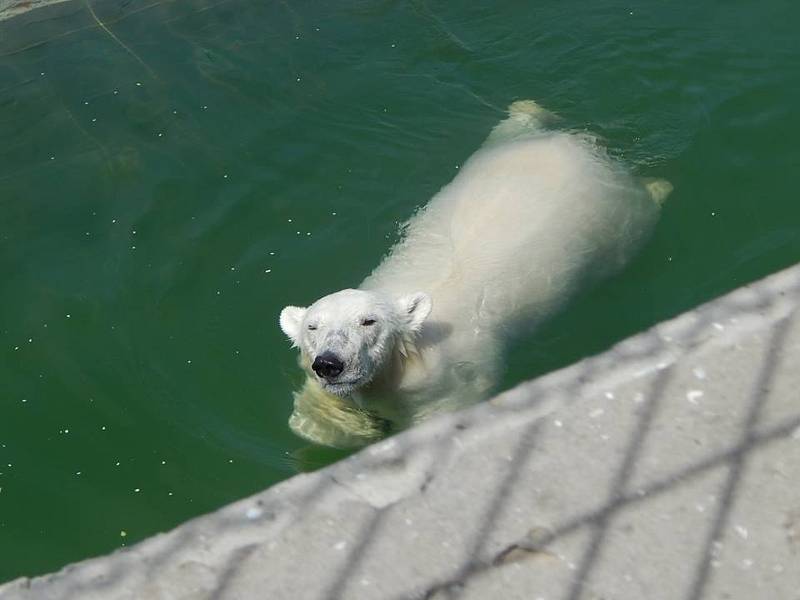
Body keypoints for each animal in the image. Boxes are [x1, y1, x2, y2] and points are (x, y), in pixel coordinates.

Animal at [278, 99, 672, 446]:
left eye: (368, 321)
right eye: (313, 327)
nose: (330, 363)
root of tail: (586, 147)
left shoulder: (452, 380)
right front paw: (355, 425)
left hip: (619, 224)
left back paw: (660, 186)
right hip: (496, 151)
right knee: (514, 125)